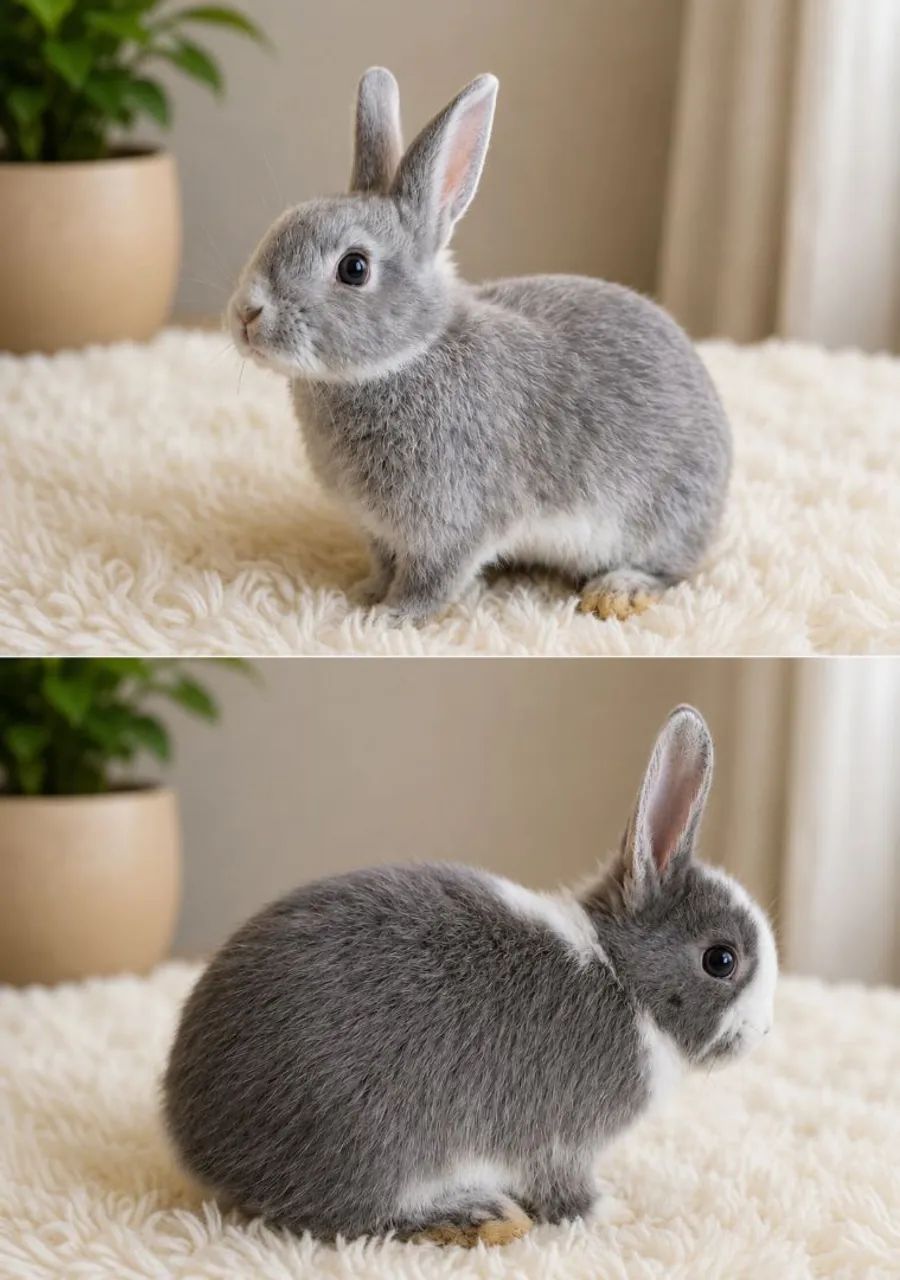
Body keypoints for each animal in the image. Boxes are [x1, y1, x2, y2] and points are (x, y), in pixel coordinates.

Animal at [163, 706, 777, 1247]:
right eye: (721, 960)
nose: (764, 1034)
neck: (620, 977)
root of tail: (194, 1139)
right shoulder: (560, 1143)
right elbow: (566, 1193)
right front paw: (617, 1211)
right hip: (372, 1144)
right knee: (344, 1217)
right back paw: (477, 1215)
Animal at [227, 68, 732, 623]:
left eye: (354, 268)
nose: (247, 314)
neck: (409, 354)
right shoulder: (379, 530)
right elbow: (384, 564)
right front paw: (364, 592)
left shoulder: (452, 523)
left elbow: (431, 578)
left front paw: (391, 617)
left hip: (660, 514)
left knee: (673, 569)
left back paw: (617, 592)